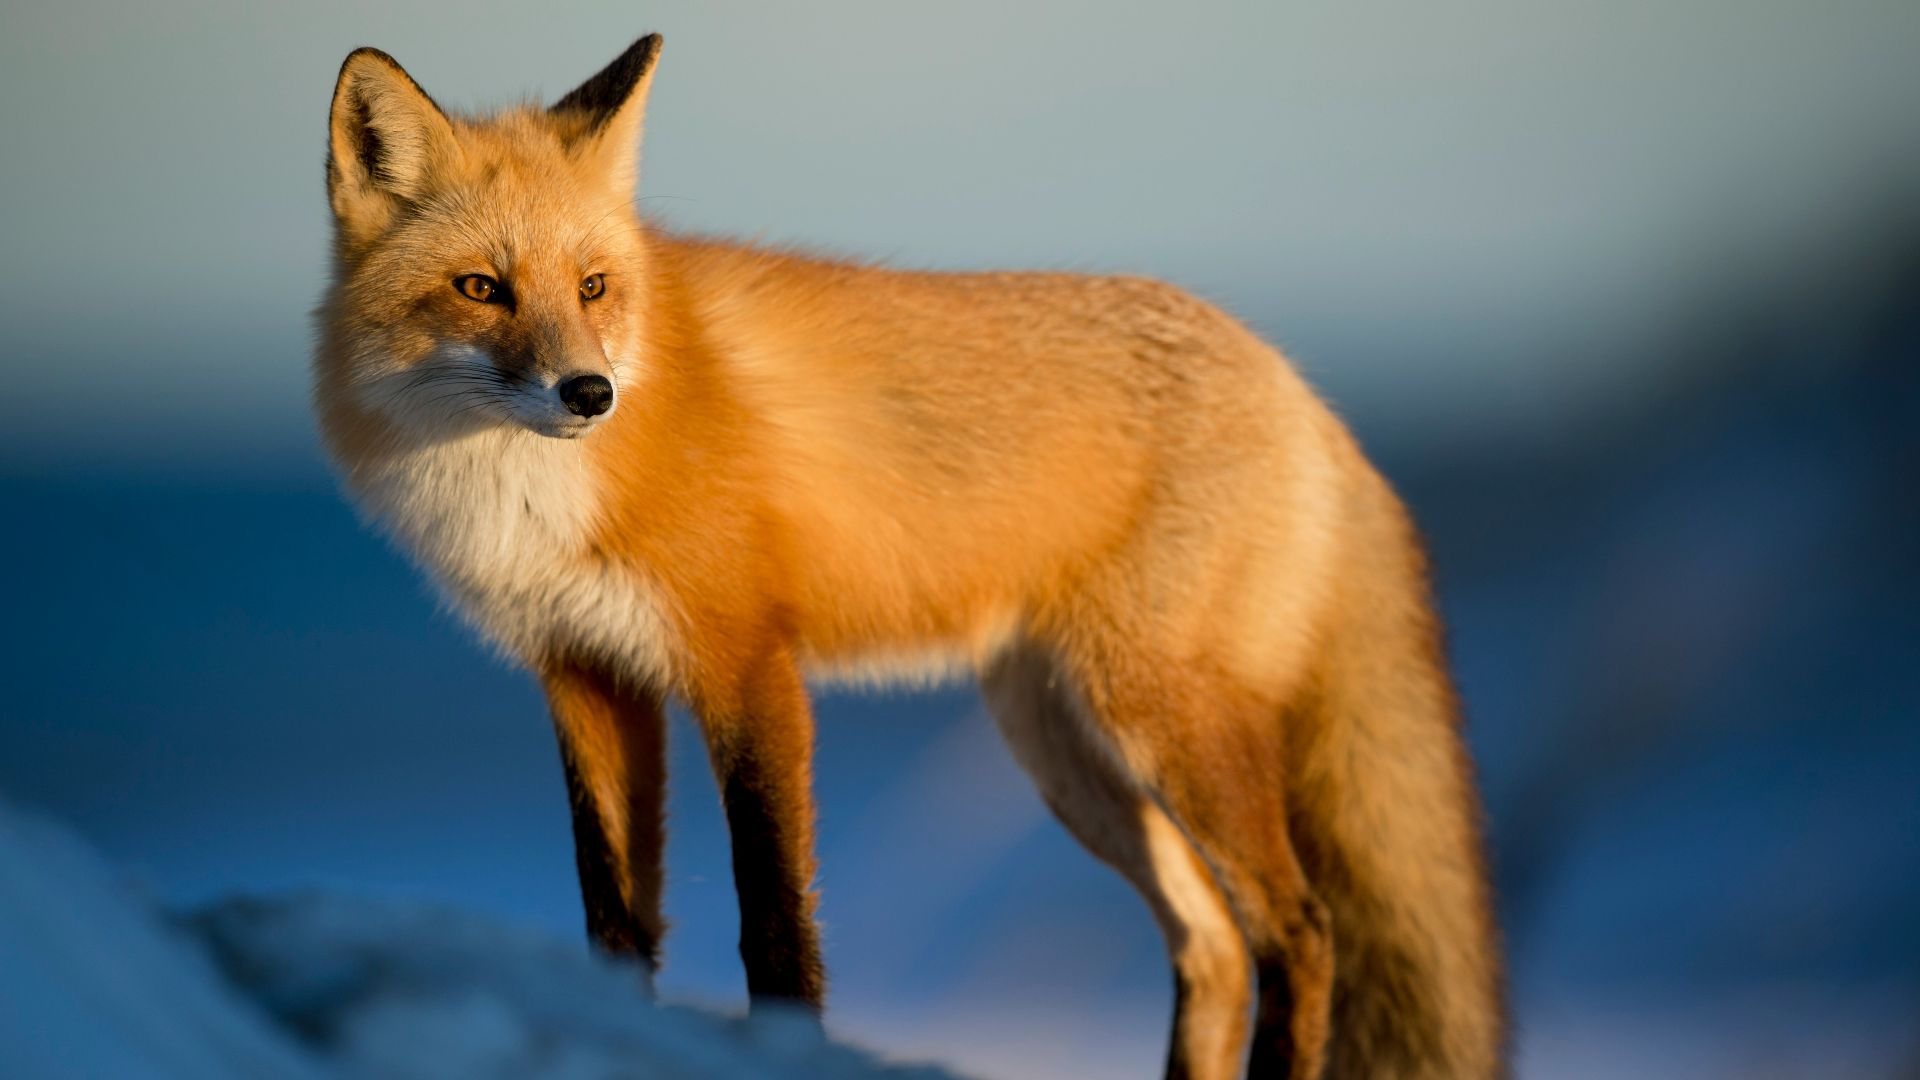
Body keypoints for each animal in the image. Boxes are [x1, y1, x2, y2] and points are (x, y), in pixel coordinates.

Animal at [314, 34, 1505, 1080]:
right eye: (482, 288)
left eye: (595, 287)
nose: (589, 393)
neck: (530, 498)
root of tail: (1300, 388)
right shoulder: (586, 675)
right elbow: (614, 921)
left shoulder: (748, 666)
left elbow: (774, 923)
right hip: (1068, 753)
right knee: (1212, 945)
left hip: (1162, 723)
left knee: (1299, 932)